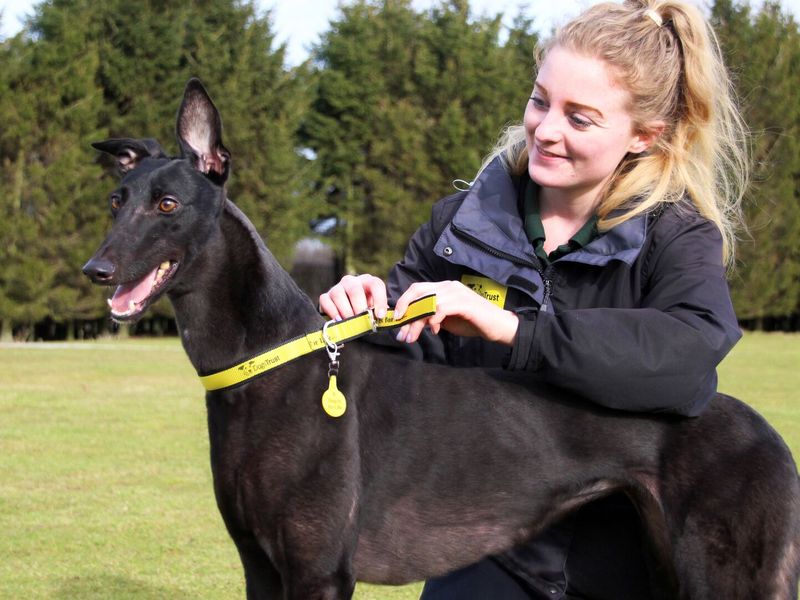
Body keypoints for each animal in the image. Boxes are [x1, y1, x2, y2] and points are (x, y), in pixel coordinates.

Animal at [86, 81, 800, 600]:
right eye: (117, 200)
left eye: (168, 205)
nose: (96, 270)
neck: (267, 367)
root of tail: (768, 433)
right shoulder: (260, 567)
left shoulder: (319, 571)